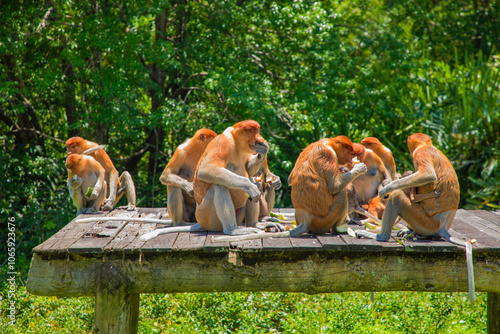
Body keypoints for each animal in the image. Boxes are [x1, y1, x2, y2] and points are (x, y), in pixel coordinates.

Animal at [214, 136, 368, 243]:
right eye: (349, 152)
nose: (351, 159)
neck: (328, 143)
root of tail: (306, 219)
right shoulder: (328, 154)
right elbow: (335, 185)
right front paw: (359, 168)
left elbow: (290, 178)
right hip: (324, 220)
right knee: (341, 194)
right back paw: (336, 230)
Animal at [356, 132, 472, 302]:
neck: (428, 145)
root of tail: (443, 227)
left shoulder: (420, 154)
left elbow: (427, 175)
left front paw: (386, 189)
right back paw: (409, 232)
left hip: (426, 222)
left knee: (398, 197)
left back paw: (380, 236)